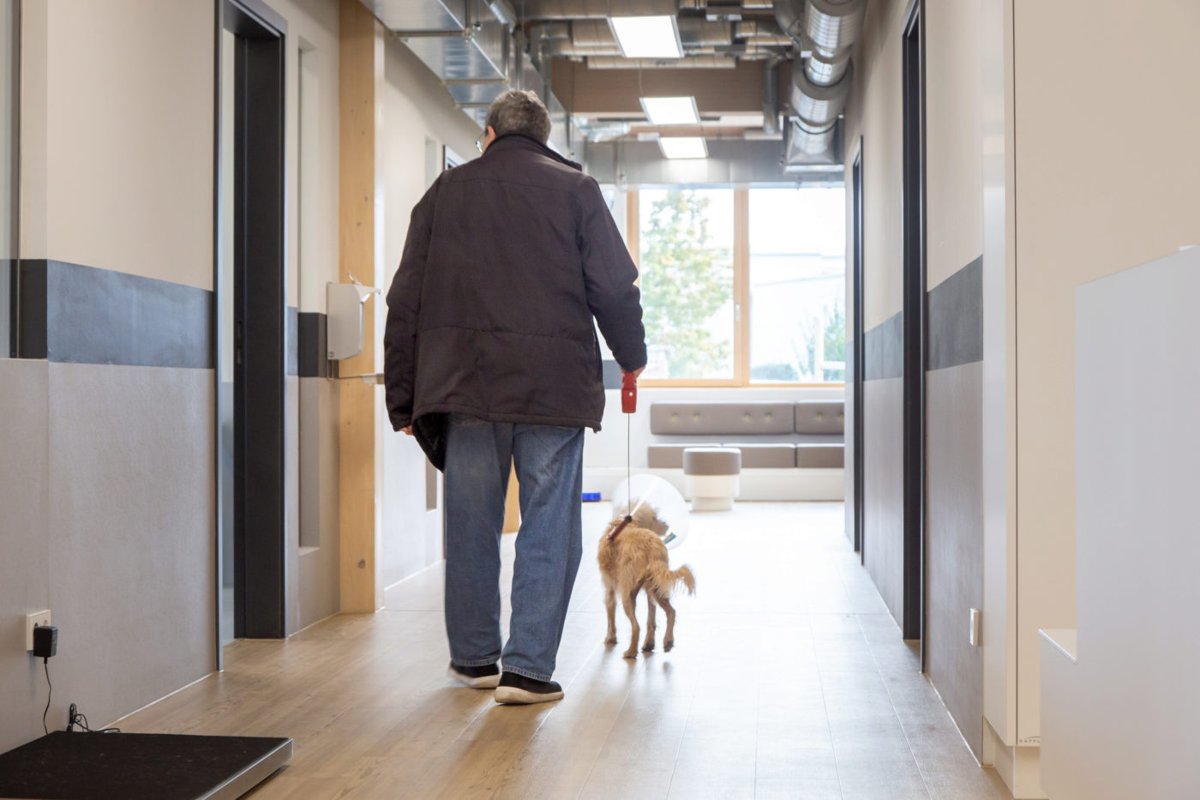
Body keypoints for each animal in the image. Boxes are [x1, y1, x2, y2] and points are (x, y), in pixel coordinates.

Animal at [597, 503, 696, 662]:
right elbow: (651, 619)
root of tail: (651, 548)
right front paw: (649, 643)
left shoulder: (609, 589)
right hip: (656, 588)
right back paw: (667, 641)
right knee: (671, 612)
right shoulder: (650, 592)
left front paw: (610, 638)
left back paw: (631, 651)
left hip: (627, 595)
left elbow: (610, 615)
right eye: (656, 517)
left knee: (636, 626)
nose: (667, 525)